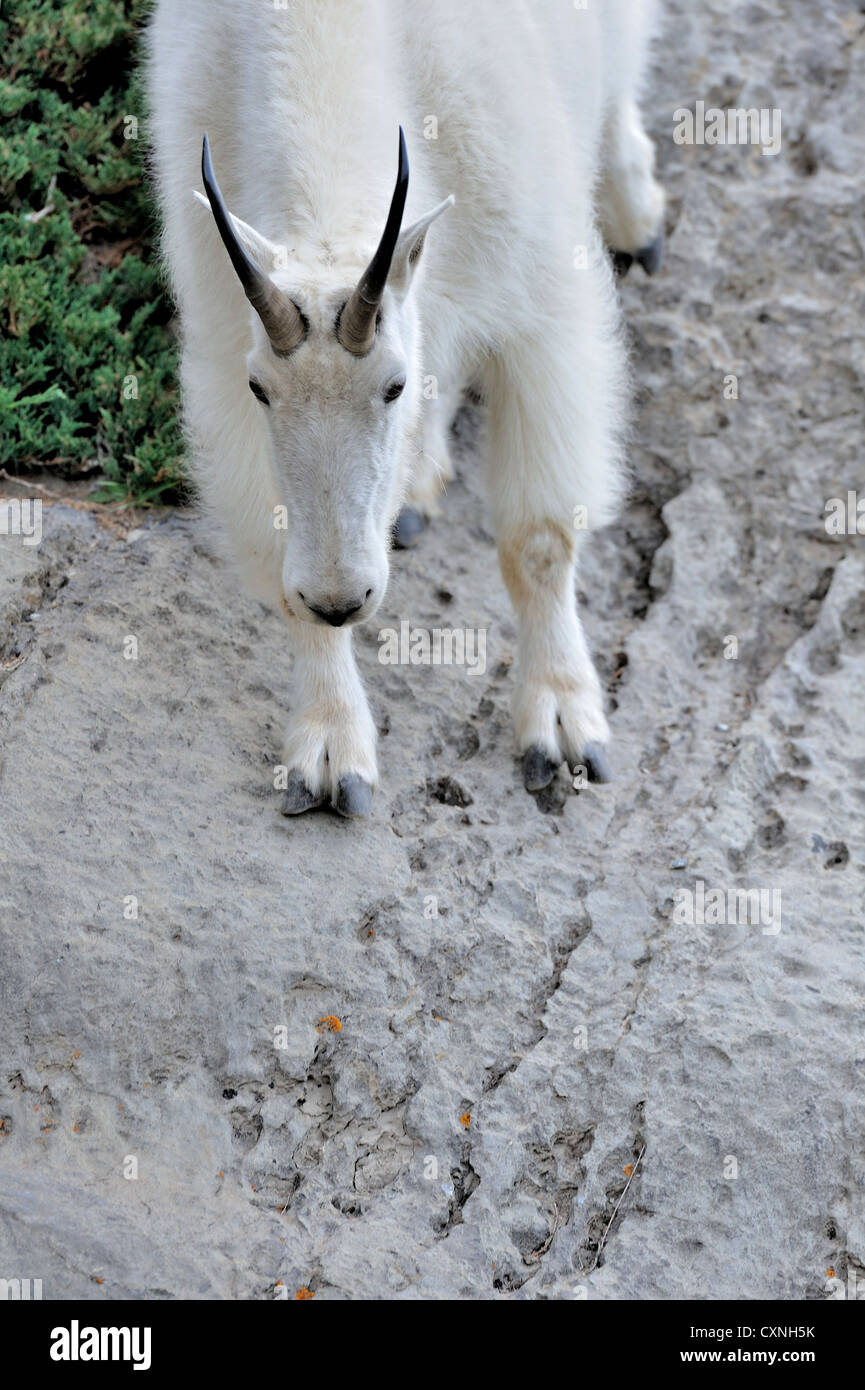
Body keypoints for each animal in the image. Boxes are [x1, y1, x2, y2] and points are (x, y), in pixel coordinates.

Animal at [146, 0, 665, 817]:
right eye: (262, 390)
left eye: (390, 385)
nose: (341, 598)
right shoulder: (224, 352)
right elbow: (282, 574)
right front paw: (330, 746)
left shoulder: (543, 310)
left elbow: (538, 541)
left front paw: (561, 724)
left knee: (619, 83)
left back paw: (636, 215)